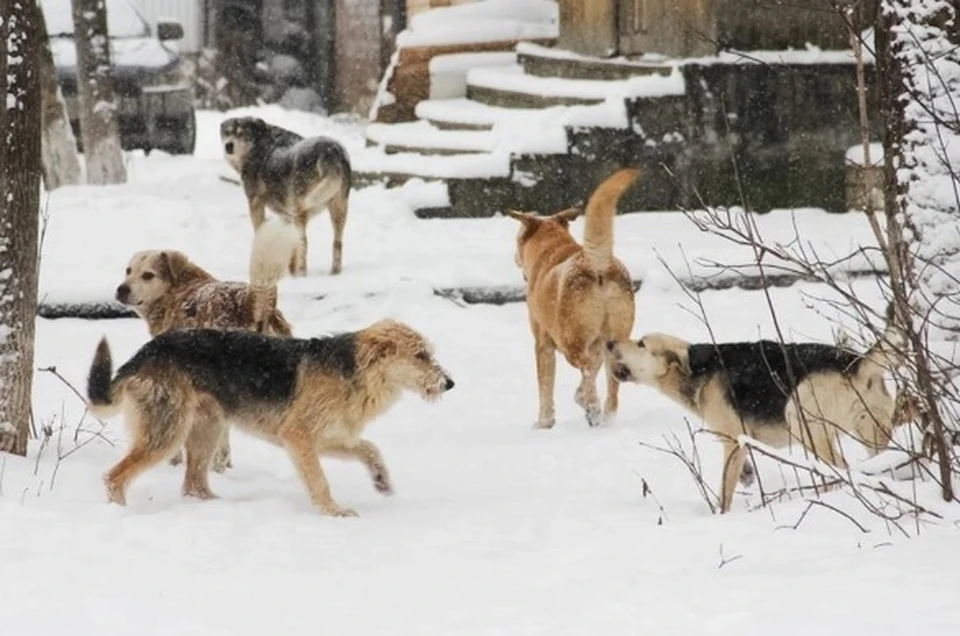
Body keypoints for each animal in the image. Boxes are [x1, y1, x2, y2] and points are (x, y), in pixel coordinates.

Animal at [85, 320, 454, 516]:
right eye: (420, 356)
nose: (450, 383)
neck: (356, 373)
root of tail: (142, 355)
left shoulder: (329, 438)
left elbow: (371, 449)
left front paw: (381, 481)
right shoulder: (299, 438)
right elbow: (320, 480)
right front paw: (333, 513)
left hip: (208, 429)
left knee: (193, 484)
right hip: (166, 434)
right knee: (115, 477)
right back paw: (119, 512)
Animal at [219, 118, 350, 278]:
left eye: (241, 133)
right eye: (227, 133)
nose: (228, 145)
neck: (257, 146)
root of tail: (330, 151)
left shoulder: (255, 203)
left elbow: (259, 233)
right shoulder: (285, 215)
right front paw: (288, 271)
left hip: (301, 210)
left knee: (304, 242)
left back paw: (301, 274)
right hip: (338, 210)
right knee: (337, 242)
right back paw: (334, 272)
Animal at [612, 310, 904, 516]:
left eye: (641, 344)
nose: (610, 343)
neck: (697, 370)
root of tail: (855, 364)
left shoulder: (732, 441)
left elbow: (725, 490)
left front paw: (719, 516)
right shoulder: (740, 444)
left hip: (803, 423)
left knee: (841, 471)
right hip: (873, 437)